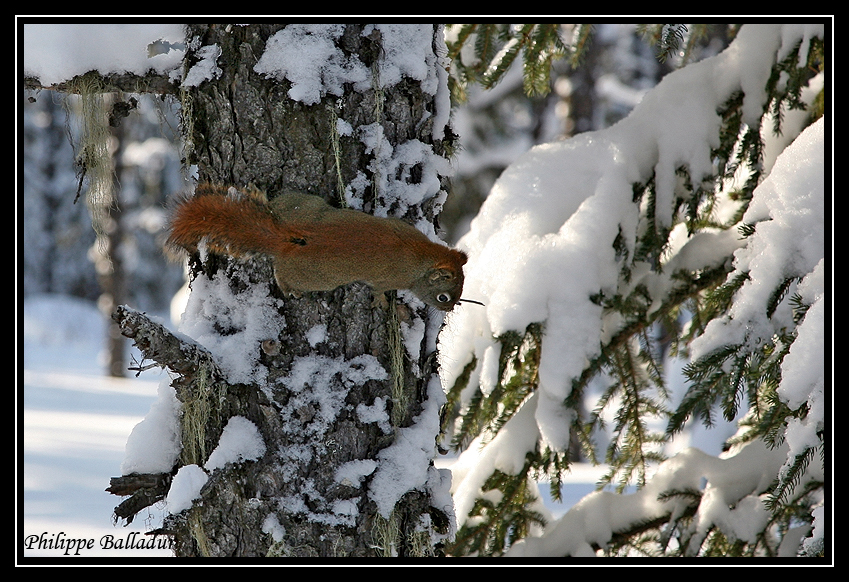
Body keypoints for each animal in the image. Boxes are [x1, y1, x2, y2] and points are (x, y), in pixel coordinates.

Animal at [166, 185, 470, 312]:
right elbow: (379, 290)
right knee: (282, 275)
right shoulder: (390, 278)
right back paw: (290, 289)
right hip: (315, 278)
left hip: (303, 205)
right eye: (444, 297)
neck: (421, 256)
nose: (448, 311)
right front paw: (381, 303)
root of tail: (284, 240)